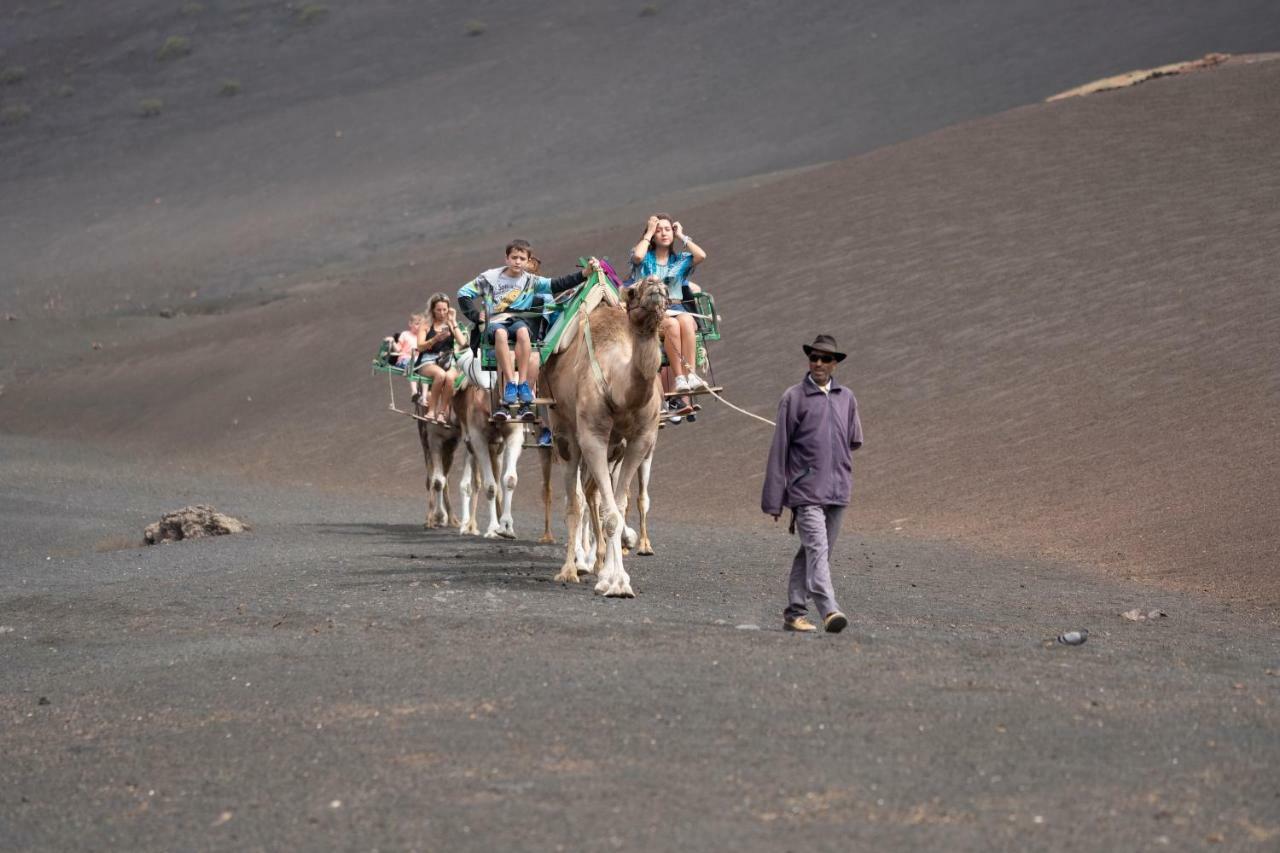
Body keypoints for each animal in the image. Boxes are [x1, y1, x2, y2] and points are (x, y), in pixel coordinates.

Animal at [540, 275, 665, 594]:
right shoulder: (593, 437)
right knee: (574, 502)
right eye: (632, 291)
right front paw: (614, 581)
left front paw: (614, 577)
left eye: (665, 289)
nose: (655, 284)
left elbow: (617, 510)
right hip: (563, 430)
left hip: (613, 447)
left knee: (590, 494)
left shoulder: (639, 441)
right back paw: (570, 570)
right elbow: (607, 514)